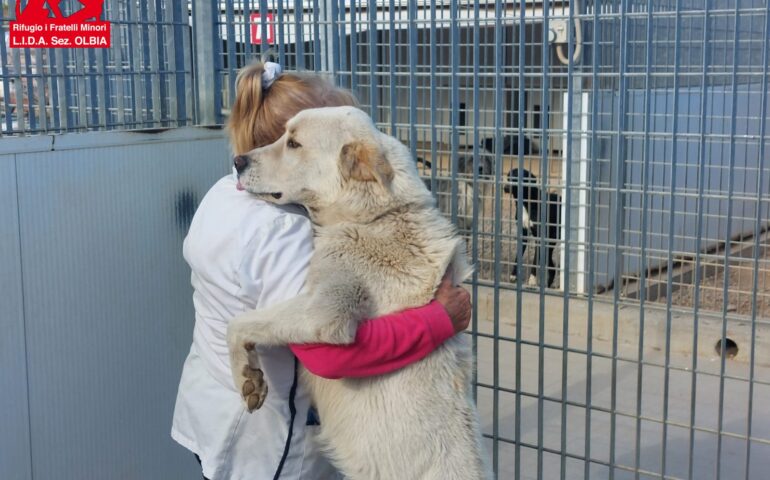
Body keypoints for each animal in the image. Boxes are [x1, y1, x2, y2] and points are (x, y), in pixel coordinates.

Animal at [225, 107, 486, 478]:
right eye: (283, 134)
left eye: (293, 143)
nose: (238, 160)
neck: (377, 216)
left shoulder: (325, 313)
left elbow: (238, 323)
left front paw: (247, 376)